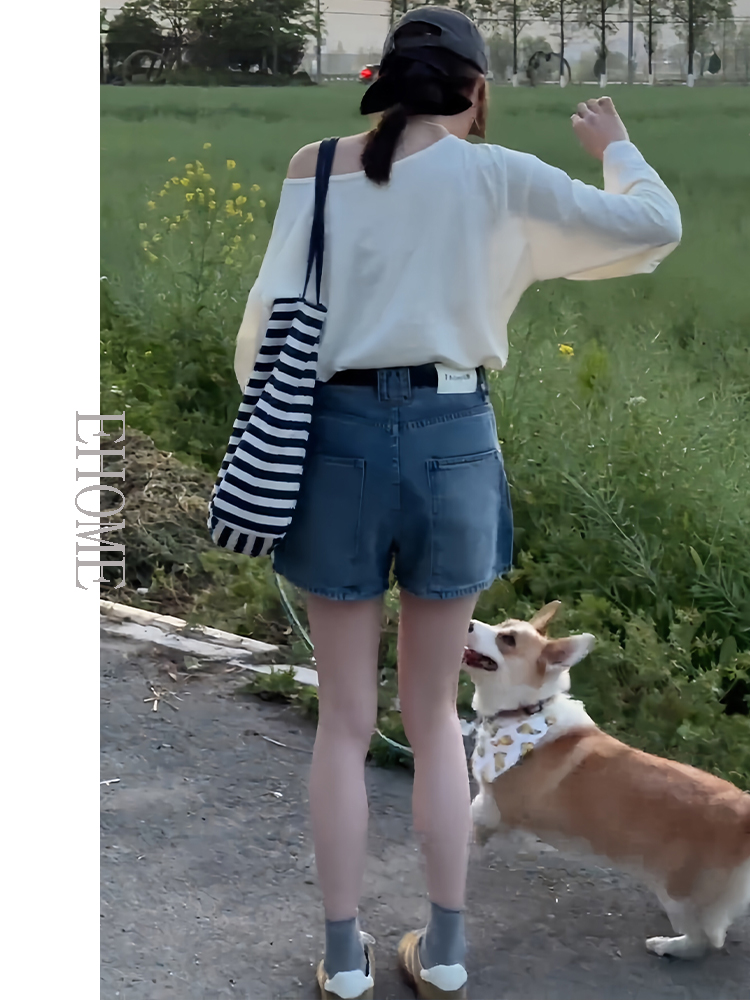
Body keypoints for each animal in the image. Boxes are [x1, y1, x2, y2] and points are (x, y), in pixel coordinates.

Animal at [462, 601, 750, 959]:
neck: (526, 713)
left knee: (706, 939)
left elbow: (476, 819)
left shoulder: (496, 805)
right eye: (502, 626)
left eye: (508, 640)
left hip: (677, 892)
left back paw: (667, 946)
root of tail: (744, 810)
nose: (468, 622)